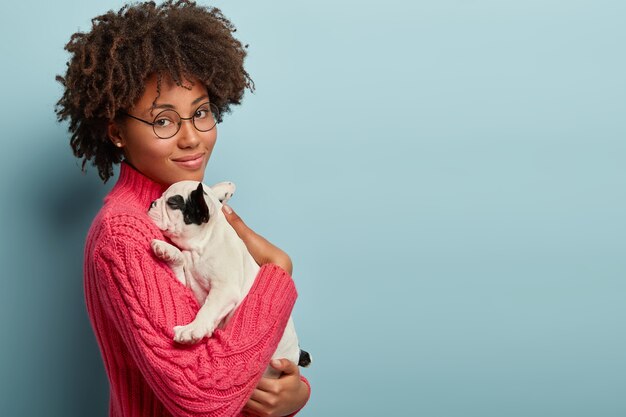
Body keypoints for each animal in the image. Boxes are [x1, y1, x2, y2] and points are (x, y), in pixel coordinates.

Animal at [147, 180, 310, 376]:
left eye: (172, 203)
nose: (152, 203)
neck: (202, 245)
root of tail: (297, 353)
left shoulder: (224, 290)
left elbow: (208, 309)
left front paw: (192, 328)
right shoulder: (189, 283)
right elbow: (179, 265)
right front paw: (168, 250)